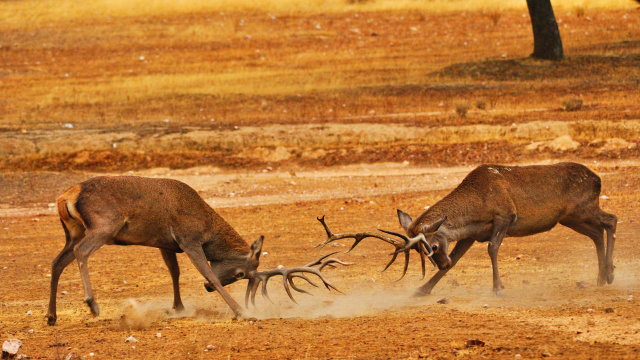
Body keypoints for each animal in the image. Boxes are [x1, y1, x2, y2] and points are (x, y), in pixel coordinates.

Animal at [47, 176, 348, 324]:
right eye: (241, 274)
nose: (206, 290)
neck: (206, 226)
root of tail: (65, 197)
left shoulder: (165, 243)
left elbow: (175, 272)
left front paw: (179, 307)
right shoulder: (188, 238)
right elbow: (208, 271)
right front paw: (240, 310)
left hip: (72, 231)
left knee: (57, 262)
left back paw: (51, 315)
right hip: (103, 226)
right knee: (81, 253)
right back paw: (92, 304)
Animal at [320, 165, 616, 296]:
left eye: (432, 246)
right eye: (420, 253)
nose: (441, 263)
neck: (475, 208)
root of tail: (598, 179)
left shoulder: (505, 215)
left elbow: (493, 249)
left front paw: (498, 288)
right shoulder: (471, 235)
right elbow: (459, 259)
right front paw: (422, 290)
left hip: (582, 208)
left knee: (611, 219)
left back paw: (610, 274)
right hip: (570, 218)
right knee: (597, 232)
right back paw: (602, 276)